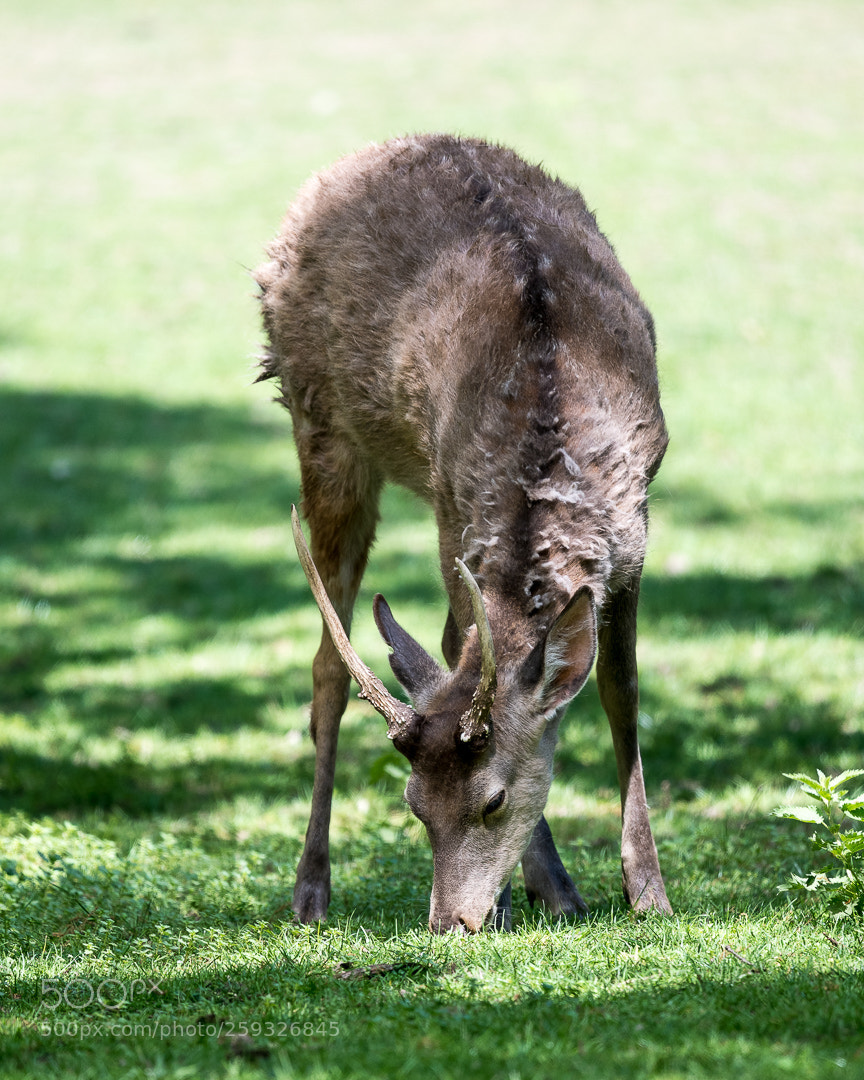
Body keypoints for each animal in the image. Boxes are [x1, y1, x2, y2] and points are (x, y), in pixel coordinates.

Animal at [255, 134, 672, 933]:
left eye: (494, 800)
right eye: (413, 805)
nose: (450, 920)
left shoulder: (635, 535)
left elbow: (620, 691)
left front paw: (648, 893)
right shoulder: (457, 513)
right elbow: (461, 650)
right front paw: (537, 891)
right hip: (322, 426)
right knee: (327, 669)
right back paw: (311, 887)